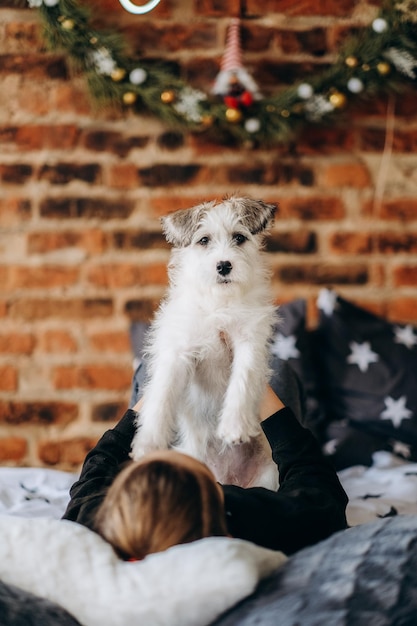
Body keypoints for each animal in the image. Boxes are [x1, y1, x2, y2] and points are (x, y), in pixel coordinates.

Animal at [132, 195, 278, 488]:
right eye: (203, 240)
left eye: (239, 238)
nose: (224, 265)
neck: (218, 303)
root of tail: (228, 477)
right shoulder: (179, 349)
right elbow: (162, 394)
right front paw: (149, 443)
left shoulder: (249, 340)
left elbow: (242, 379)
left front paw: (234, 425)